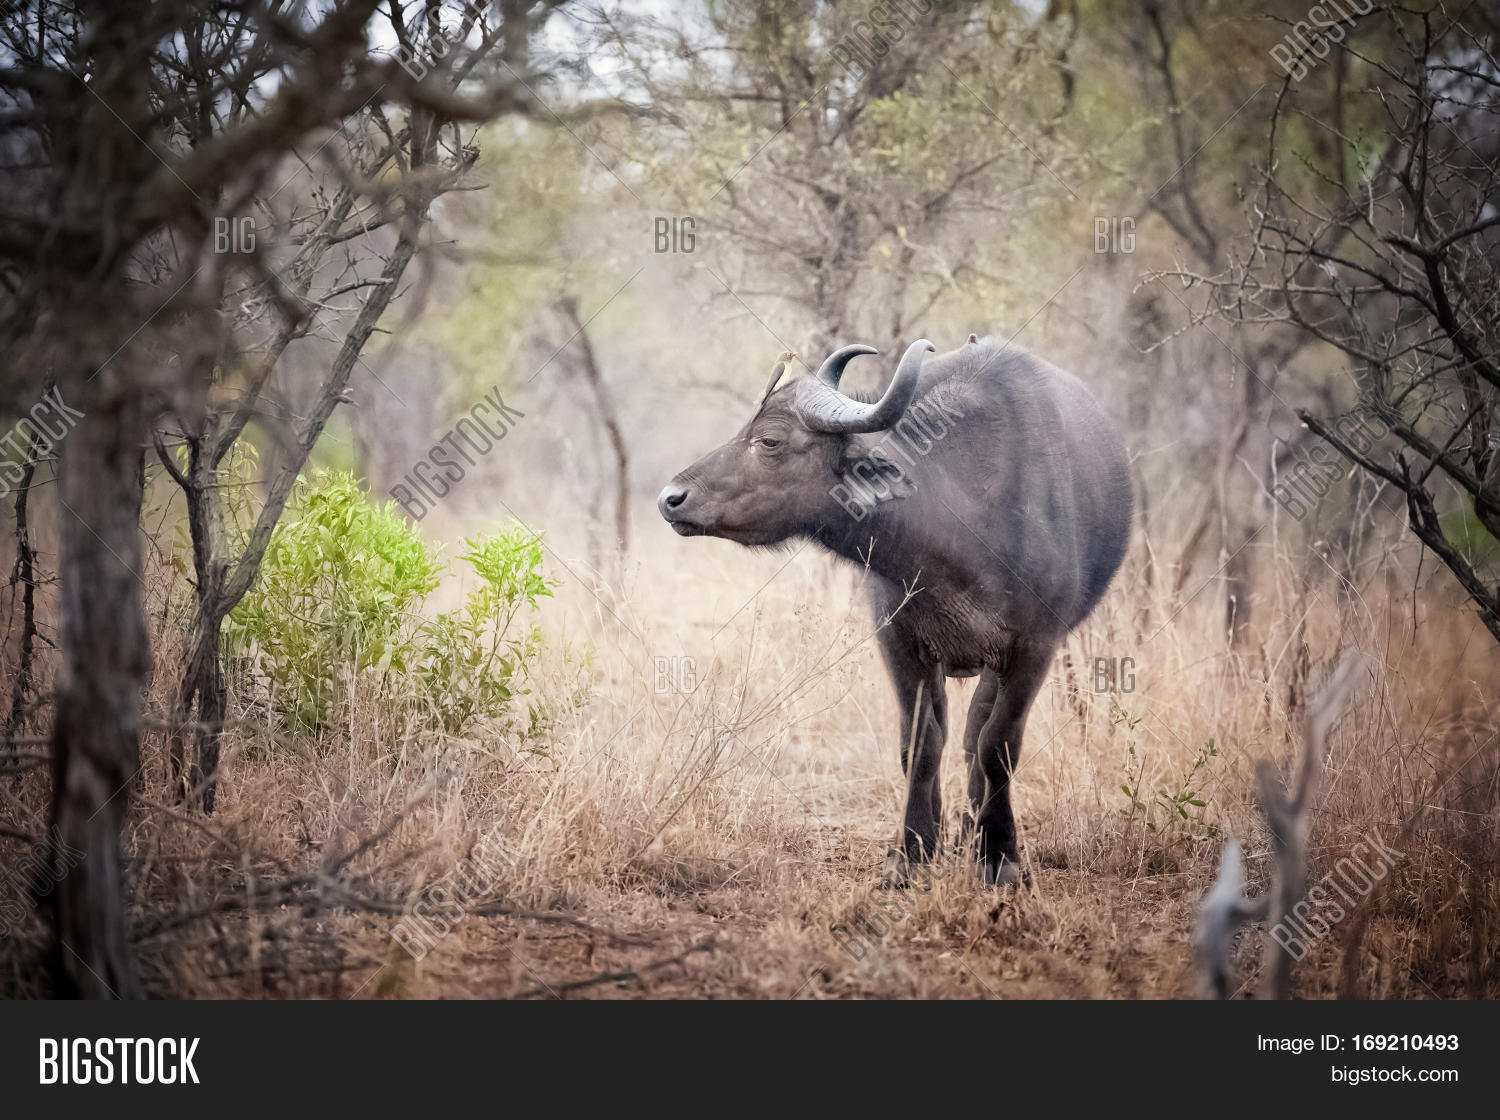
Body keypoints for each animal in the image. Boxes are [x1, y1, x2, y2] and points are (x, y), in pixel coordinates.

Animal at [658, 336, 1131, 886]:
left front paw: (1000, 859)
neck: (963, 530)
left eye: (770, 442)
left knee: (977, 734)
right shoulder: (900, 643)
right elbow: (920, 744)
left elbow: (997, 746)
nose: (671, 498)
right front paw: (912, 853)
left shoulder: (1035, 648)